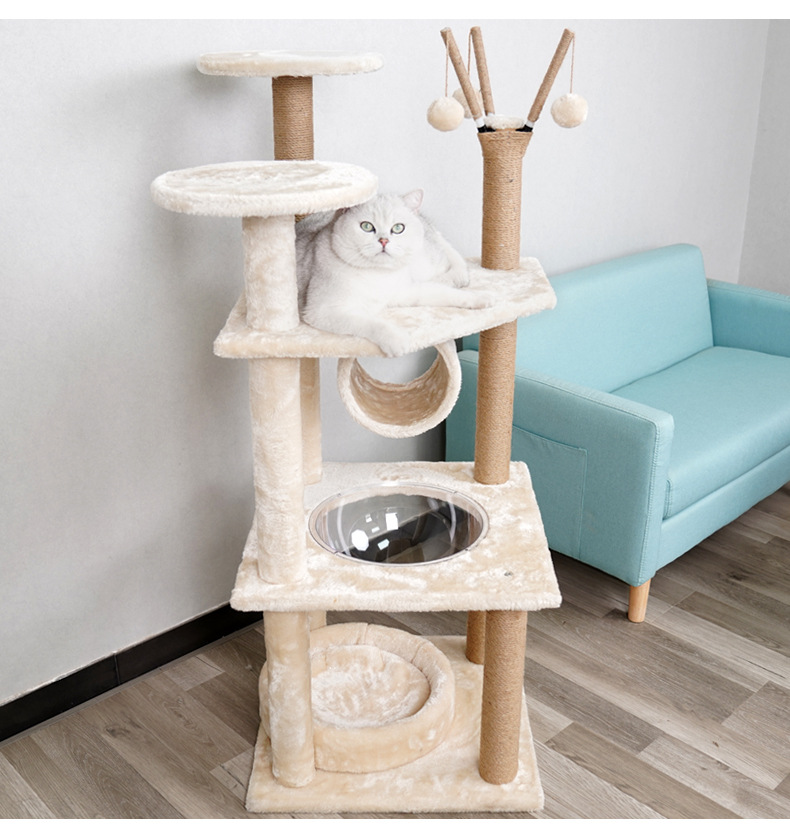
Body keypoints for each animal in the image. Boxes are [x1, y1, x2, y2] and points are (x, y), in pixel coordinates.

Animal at [296, 190, 490, 356]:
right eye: (366, 226)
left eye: (398, 228)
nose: (384, 240)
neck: (379, 276)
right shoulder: (324, 311)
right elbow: (372, 323)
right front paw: (397, 340)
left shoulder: (406, 291)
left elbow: (447, 294)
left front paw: (479, 300)